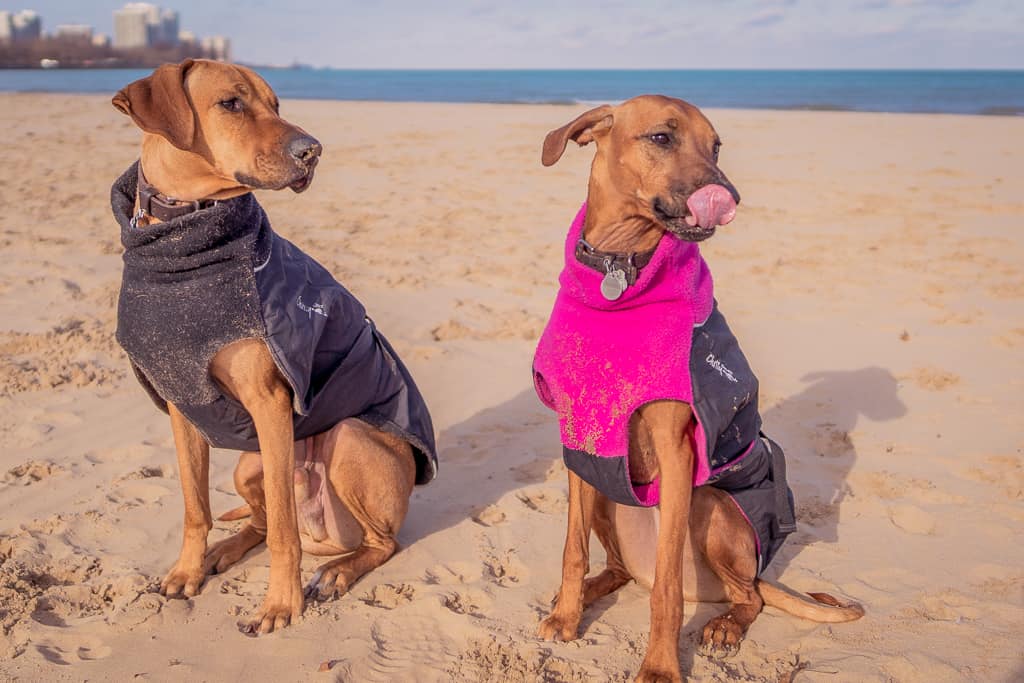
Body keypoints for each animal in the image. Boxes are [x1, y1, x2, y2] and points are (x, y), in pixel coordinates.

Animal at [111, 58, 436, 634]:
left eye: (277, 104)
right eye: (231, 103)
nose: (313, 151)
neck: (182, 235)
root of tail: (324, 535)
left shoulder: (269, 402)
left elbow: (284, 532)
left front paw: (281, 604)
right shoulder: (181, 400)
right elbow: (195, 506)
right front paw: (188, 570)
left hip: (349, 439)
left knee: (378, 541)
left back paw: (339, 571)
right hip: (249, 464)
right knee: (260, 523)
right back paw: (226, 549)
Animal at [536, 97, 864, 683]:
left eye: (716, 146)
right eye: (662, 138)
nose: (729, 196)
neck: (621, 267)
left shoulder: (677, 449)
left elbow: (666, 589)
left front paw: (661, 667)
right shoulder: (583, 445)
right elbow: (573, 550)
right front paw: (566, 617)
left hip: (711, 507)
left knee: (745, 595)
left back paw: (725, 626)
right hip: (611, 499)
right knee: (618, 569)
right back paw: (590, 591)